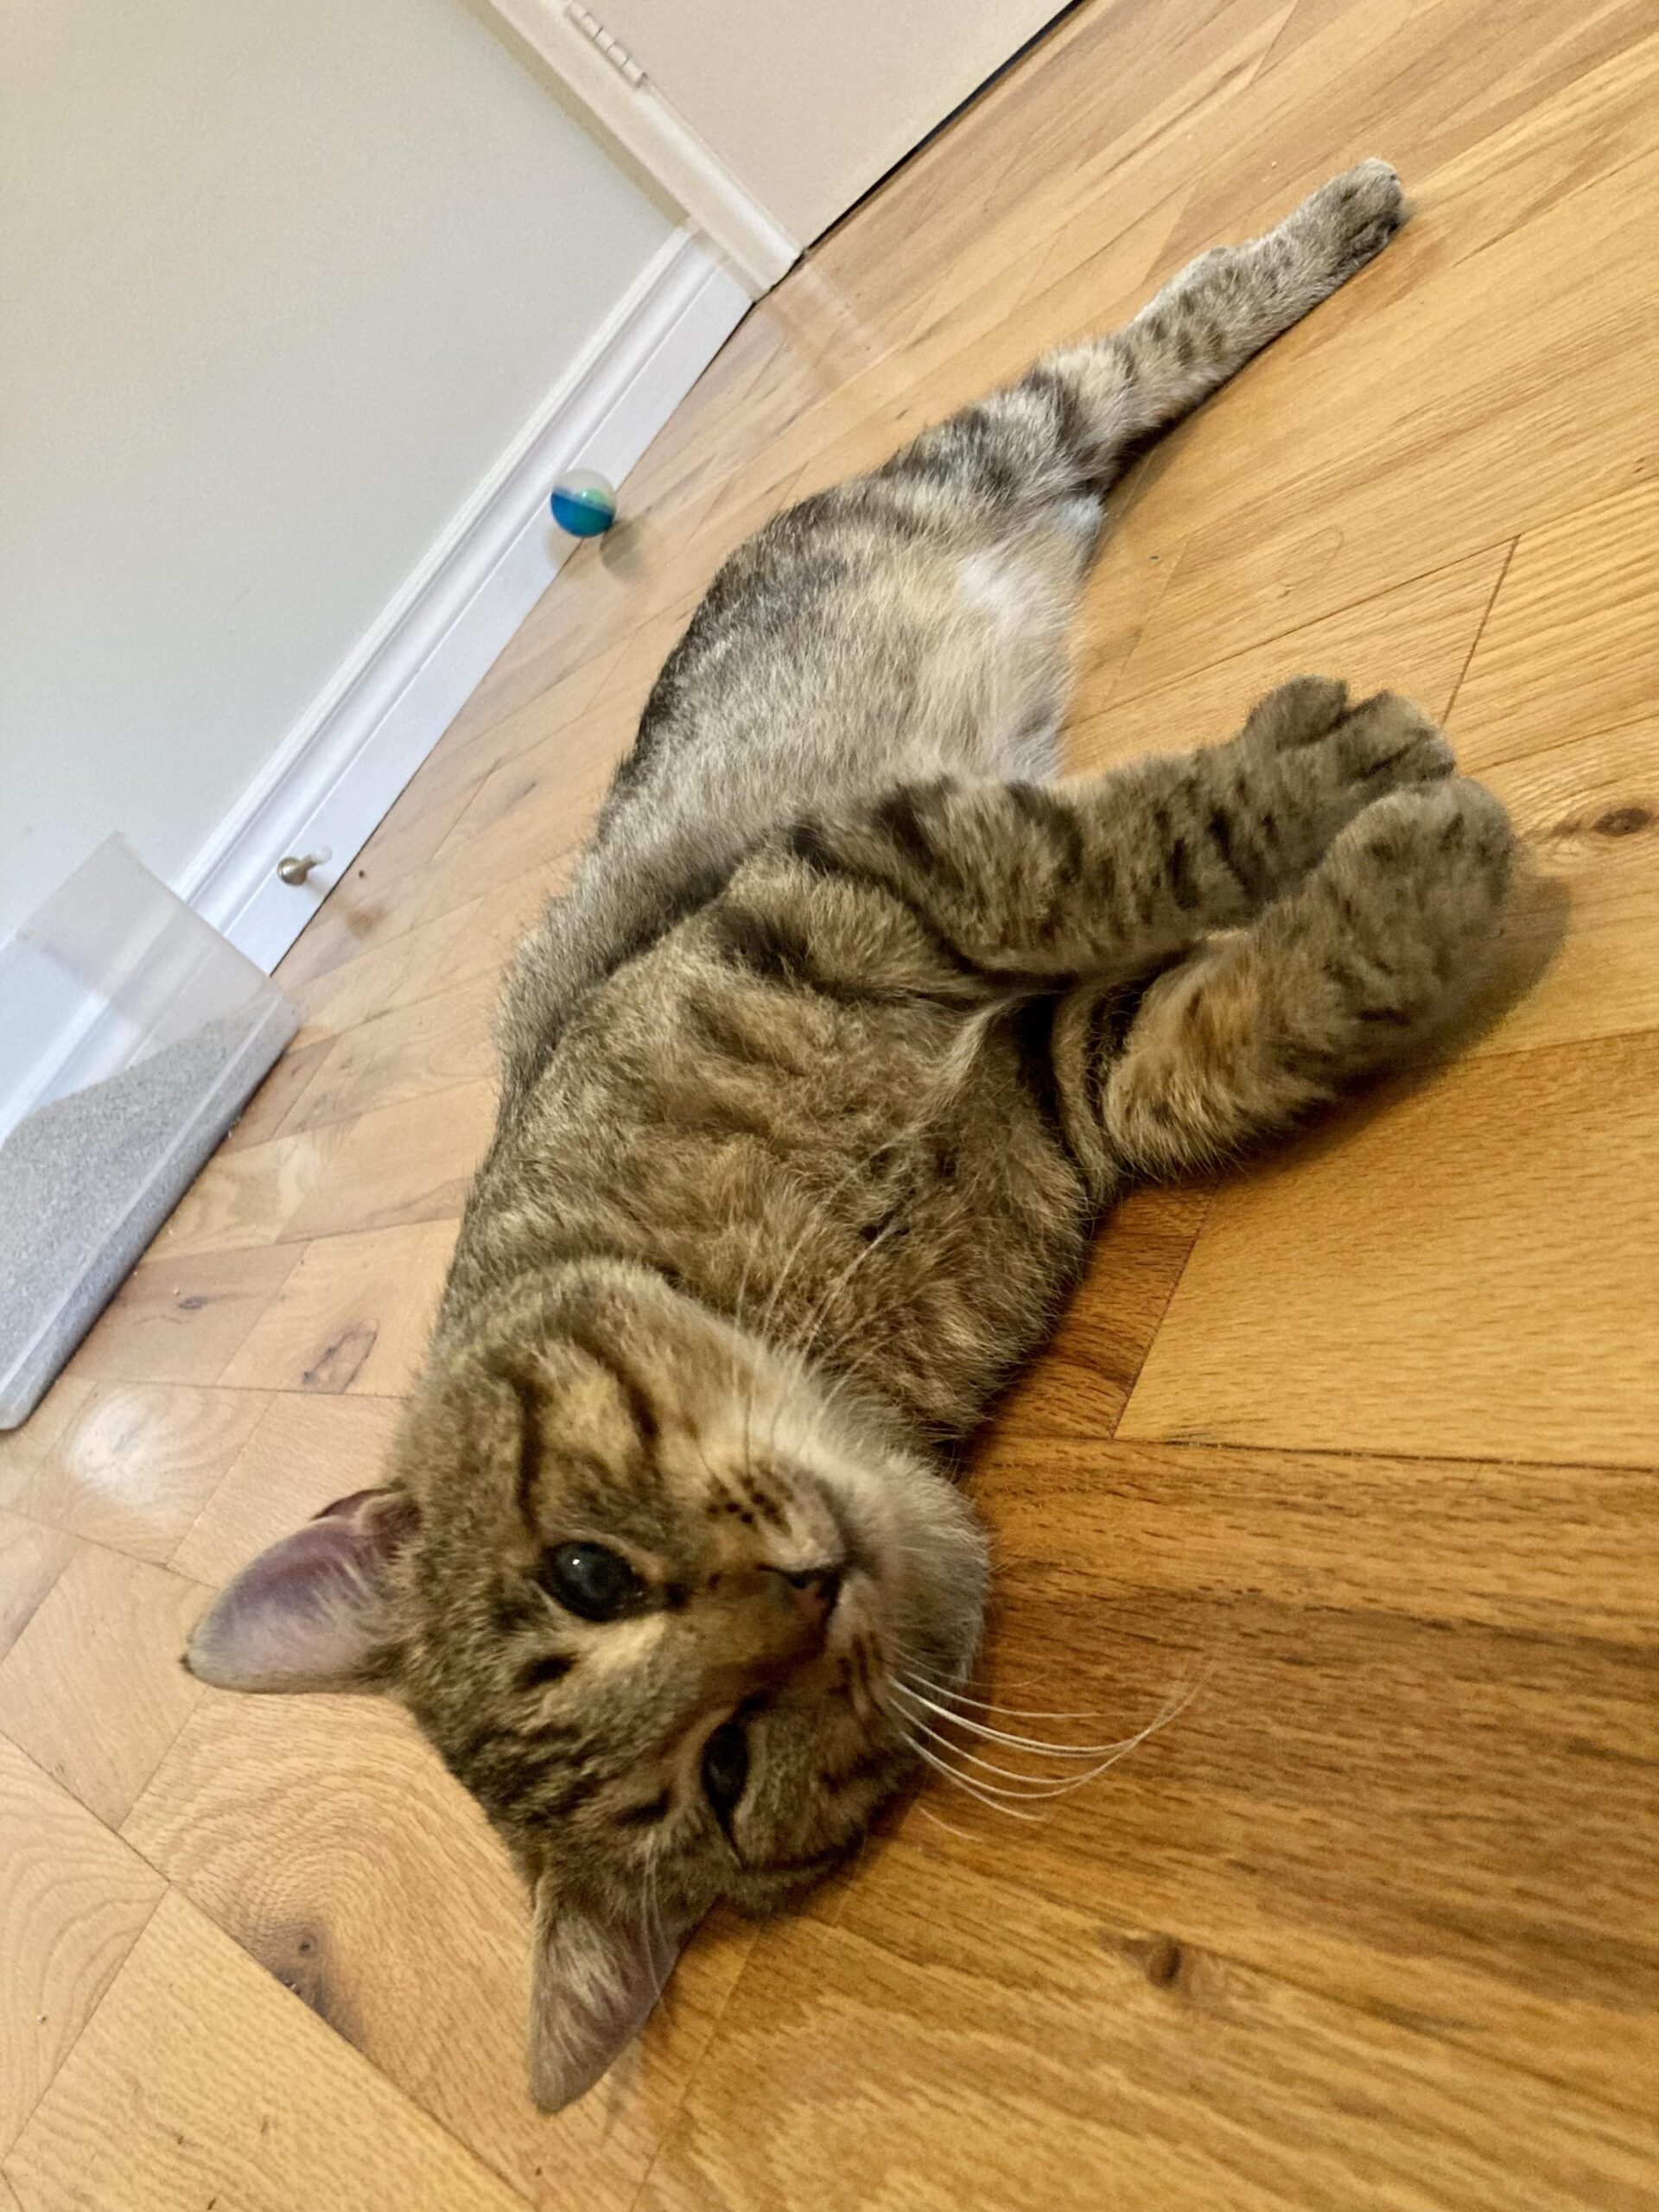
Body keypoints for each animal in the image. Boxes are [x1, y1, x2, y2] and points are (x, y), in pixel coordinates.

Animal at [187, 160, 1515, 2111]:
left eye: (587, 1571)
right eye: (725, 1769)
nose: (807, 1588)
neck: (814, 1327)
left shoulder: (850, 884)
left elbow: (1108, 847)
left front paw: (1326, 765)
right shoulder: (1059, 1075)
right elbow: (1206, 1037)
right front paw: (1408, 880)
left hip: (977, 457)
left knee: (1131, 348)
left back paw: (1325, 228)